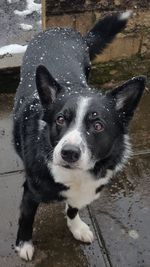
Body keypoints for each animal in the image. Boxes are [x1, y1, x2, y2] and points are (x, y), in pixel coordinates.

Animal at [13, 11, 145, 262]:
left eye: (98, 125)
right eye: (60, 120)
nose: (69, 153)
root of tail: (61, 29)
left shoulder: (82, 192)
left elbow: (73, 208)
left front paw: (76, 227)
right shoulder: (30, 193)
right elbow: (26, 218)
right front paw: (23, 244)